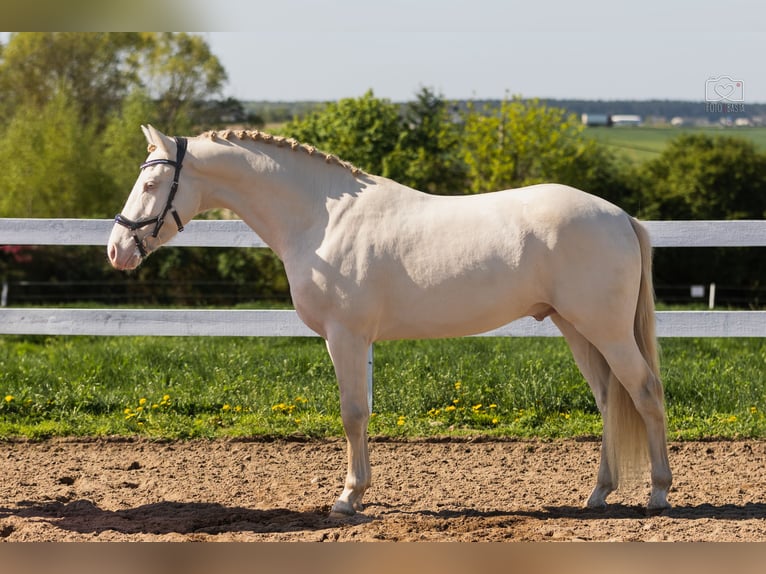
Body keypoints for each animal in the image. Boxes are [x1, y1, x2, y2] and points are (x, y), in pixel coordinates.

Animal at [108, 124, 672, 516]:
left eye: (152, 181)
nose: (116, 250)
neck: (322, 219)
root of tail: (621, 216)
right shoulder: (351, 340)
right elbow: (360, 413)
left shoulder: (347, 337)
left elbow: (353, 413)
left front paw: (348, 497)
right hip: (576, 328)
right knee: (609, 400)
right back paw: (599, 493)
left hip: (605, 330)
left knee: (645, 393)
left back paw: (659, 493)